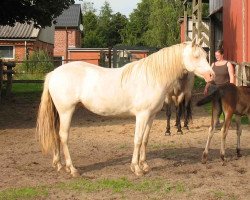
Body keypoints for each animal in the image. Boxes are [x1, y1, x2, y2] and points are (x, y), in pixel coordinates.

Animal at [36, 40, 214, 177]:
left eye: (205, 56)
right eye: (196, 56)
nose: (211, 75)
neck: (153, 77)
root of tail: (53, 73)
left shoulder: (151, 116)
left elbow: (145, 140)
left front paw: (145, 165)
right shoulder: (142, 115)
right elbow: (137, 140)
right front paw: (136, 168)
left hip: (59, 112)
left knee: (56, 134)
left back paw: (59, 165)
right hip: (66, 111)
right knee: (63, 136)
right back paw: (72, 169)